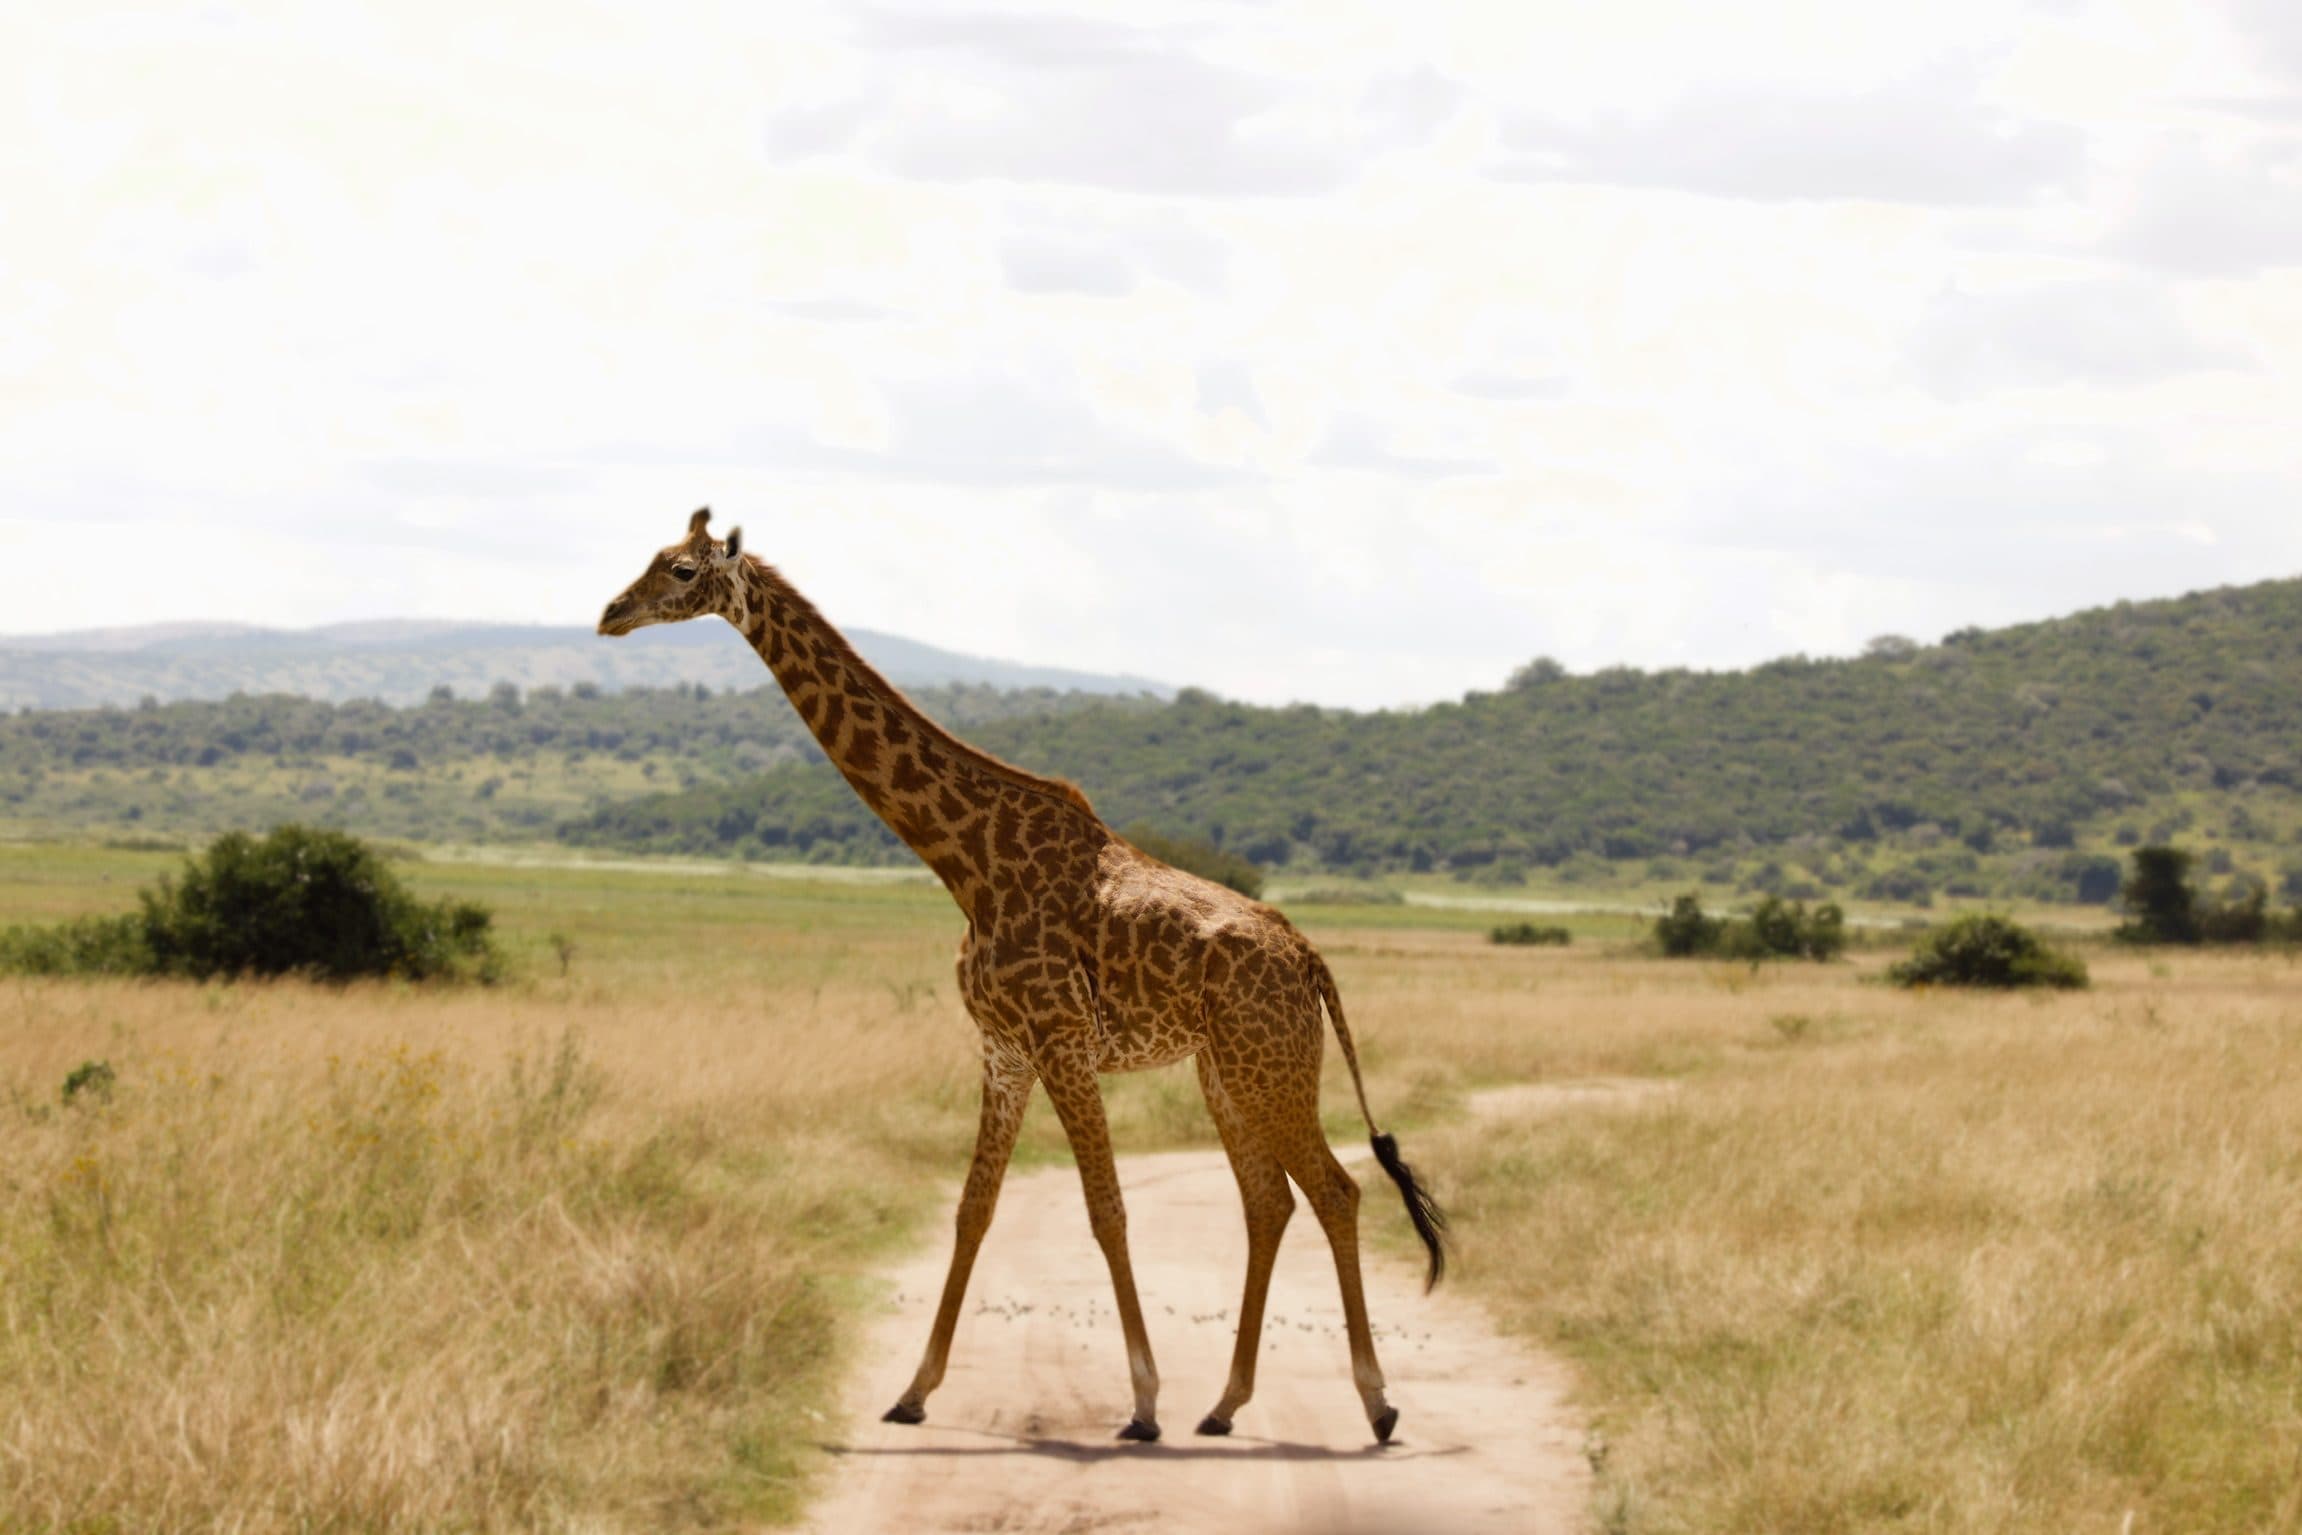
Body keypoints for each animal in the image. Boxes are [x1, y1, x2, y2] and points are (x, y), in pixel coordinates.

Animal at [597, 509, 1448, 1445]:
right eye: (649, 559)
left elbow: (1105, 1208)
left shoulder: (1060, 1038)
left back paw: (1377, 1403)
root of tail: (1311, 959)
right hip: (1227, 1070)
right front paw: (912, 1391)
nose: (610, 614)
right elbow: (974, 1206)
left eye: (680, 571)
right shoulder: (1003, 1046)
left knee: (1335, 1190)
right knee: (1270, 1201)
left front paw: (1142, 1402)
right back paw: (1225, 1405)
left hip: (1272, 1066)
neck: (965, 861)